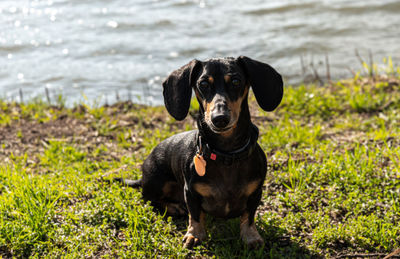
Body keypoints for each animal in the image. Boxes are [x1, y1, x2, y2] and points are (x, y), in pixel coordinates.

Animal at [123, 55, 282, 249]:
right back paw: (174, 207)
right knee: (150, 200)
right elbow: (196, 215)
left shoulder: (256, 192)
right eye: (204, 84)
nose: (219, 118)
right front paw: (194, 234)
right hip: (157, 183)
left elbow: (248, 216)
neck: (226, 154)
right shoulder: (190, 192)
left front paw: (251, 236)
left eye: (236, 81)